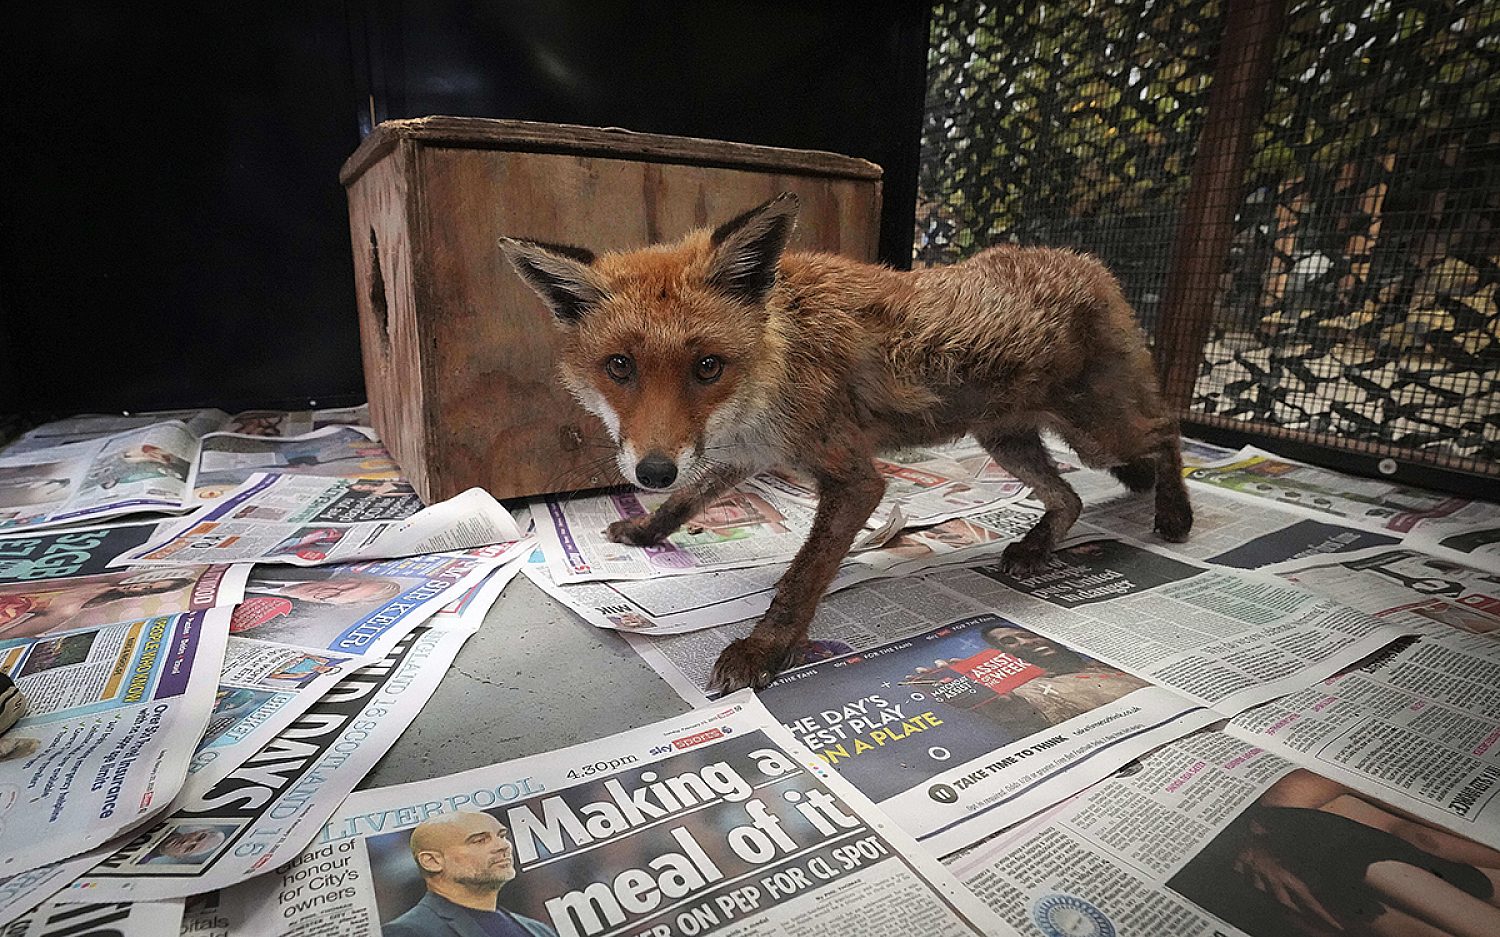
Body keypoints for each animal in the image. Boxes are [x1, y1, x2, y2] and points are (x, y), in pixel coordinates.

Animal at [500, 193, 1192, 692]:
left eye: (707, 367)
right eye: (619, 367)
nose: (650, 471)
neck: (775, 363)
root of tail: (1089, 261)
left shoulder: (854, 478)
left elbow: (801, 579)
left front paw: (764, 648)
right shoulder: (742, 453)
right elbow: (687, 500)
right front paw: (647, 528)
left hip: (1097, 433)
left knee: (1165, 431)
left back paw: (1174, 511)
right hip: (1007, 440)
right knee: (1070, 499)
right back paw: (1037, 546)